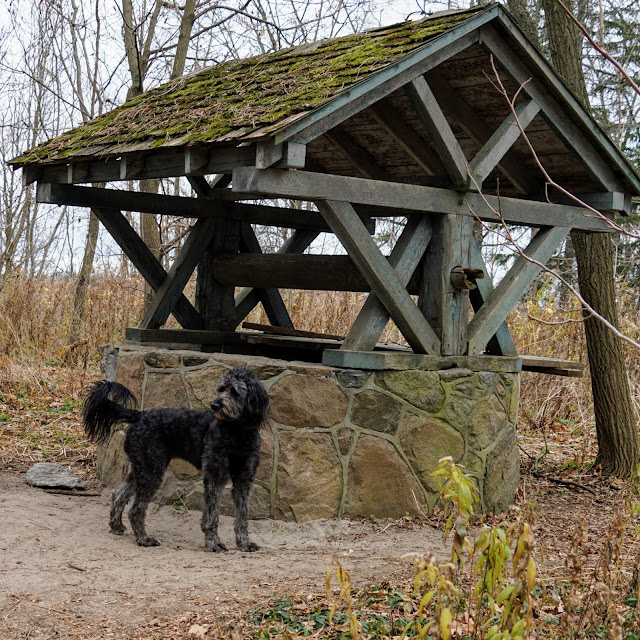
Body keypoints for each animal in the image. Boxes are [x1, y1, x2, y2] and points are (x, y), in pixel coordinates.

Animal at [82, 368, 268, 552]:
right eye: (221, 389)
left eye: (235, 391)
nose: (214, 405)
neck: (238, 432)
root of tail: (140, 415)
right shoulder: (215, 475)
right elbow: (212, 515)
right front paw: (213, 543)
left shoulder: (244, 478)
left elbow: (242, 515)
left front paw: (244, 543)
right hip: (151, 470)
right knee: (135, 510)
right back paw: (144, 539)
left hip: (142, 467)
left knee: (118, 494)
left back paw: (116, 526)